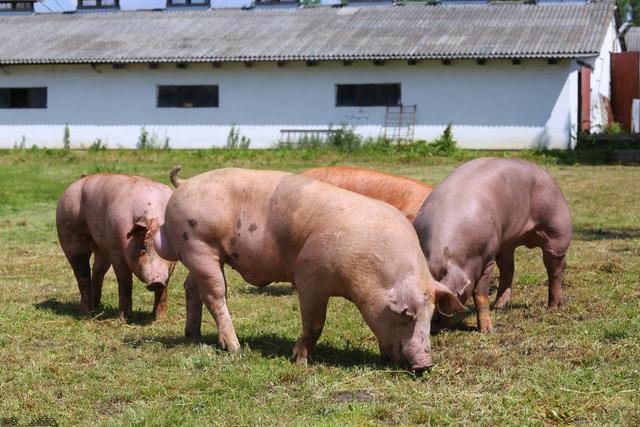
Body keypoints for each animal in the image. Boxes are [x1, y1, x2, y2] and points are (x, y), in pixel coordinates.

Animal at [56, 174, 176, 320]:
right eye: (142, 248)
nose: (156, 281)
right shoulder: (116, 251)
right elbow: (125, 282)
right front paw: (125, 319)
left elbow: (164, 288)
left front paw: (160, 319)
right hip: (69, 235)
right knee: (82, 274)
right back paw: (88, 313)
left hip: (101, 248)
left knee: (97, 271)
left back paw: (97, 306)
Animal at [412, 158, 572, 334]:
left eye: (443, 298)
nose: (432, 328)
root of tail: (546, 174)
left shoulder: (487, 258)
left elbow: (480, 294)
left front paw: (487, 331)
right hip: (506, 244)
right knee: (508, 270)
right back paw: (499, 307)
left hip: (557, 233)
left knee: (555, 269)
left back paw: (553, 307)